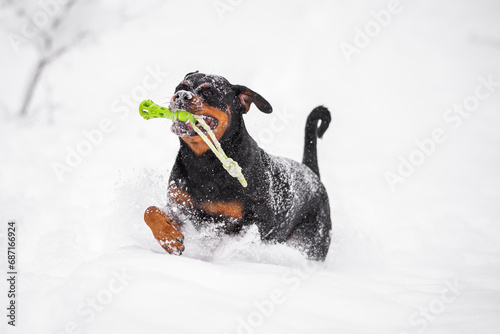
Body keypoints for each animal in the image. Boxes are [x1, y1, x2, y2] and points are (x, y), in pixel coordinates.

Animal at [145, 72, 332, 260]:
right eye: (180, 87)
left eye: (210, 92)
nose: (182, 95)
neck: (205, 165)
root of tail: (311, 173)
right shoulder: (181, 208)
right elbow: (151, 210)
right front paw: (169, 237)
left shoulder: (258, 222)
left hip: (311, 241)